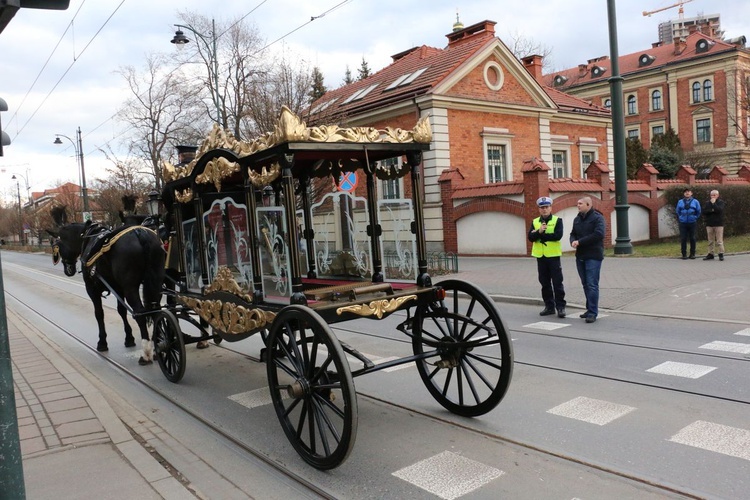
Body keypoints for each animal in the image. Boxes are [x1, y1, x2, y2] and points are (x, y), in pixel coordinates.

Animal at [48, 207, 166, 364]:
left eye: (58, 246)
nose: (68, 270)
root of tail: (140, 233)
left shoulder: (92, 289)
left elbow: (99, 313)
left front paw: (102, 342)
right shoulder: (117, 288)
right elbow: (121, 310)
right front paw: (129, 338)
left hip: (130, 288)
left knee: (140, 313)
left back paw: (146, 352)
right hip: (155, 283)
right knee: (156, 311)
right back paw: (157, 344)